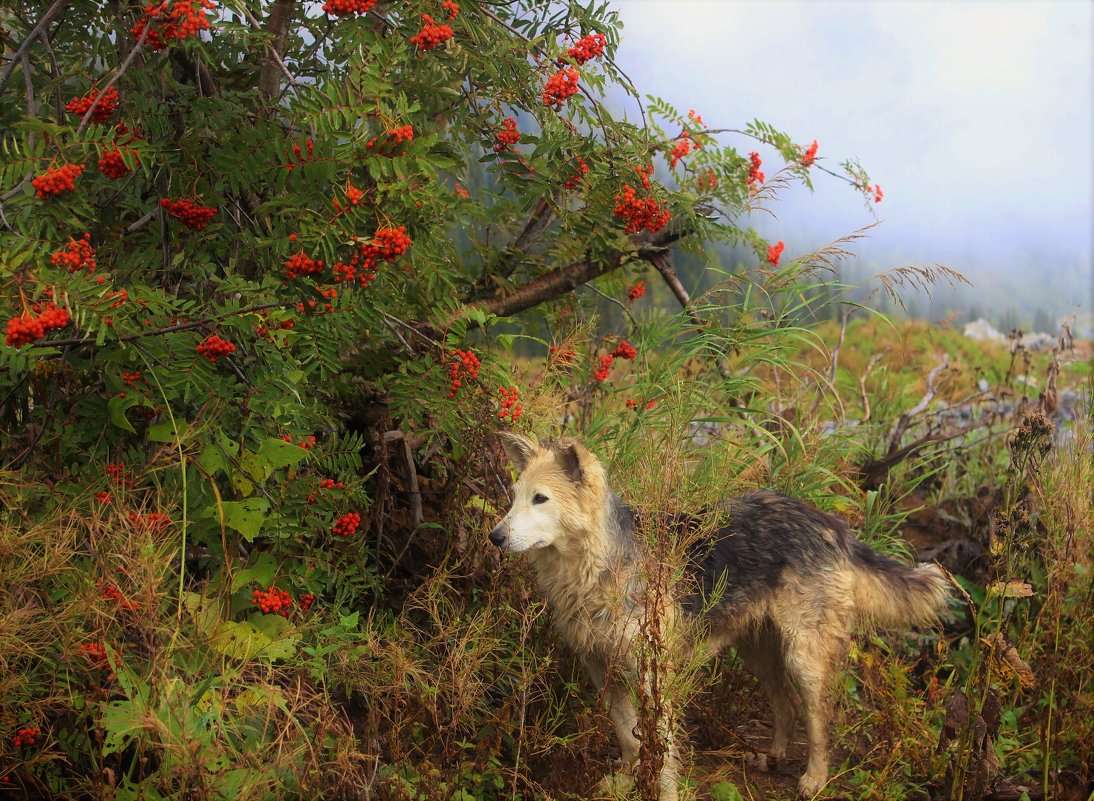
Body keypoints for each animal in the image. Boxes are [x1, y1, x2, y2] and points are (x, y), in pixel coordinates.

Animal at [490, 435, 949, 796]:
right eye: (514, 498)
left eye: (540, 499)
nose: (494, 537)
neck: (599, 567)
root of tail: (832, 524)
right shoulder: (603, 670)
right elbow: (628, 737)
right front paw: (625, 781)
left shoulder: (654, 676)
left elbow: (662, 751)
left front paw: (663, 792)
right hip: (758, 651)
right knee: (784, 704)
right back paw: (773, 755)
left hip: (804, 658)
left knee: (818, 719)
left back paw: (815, 779)